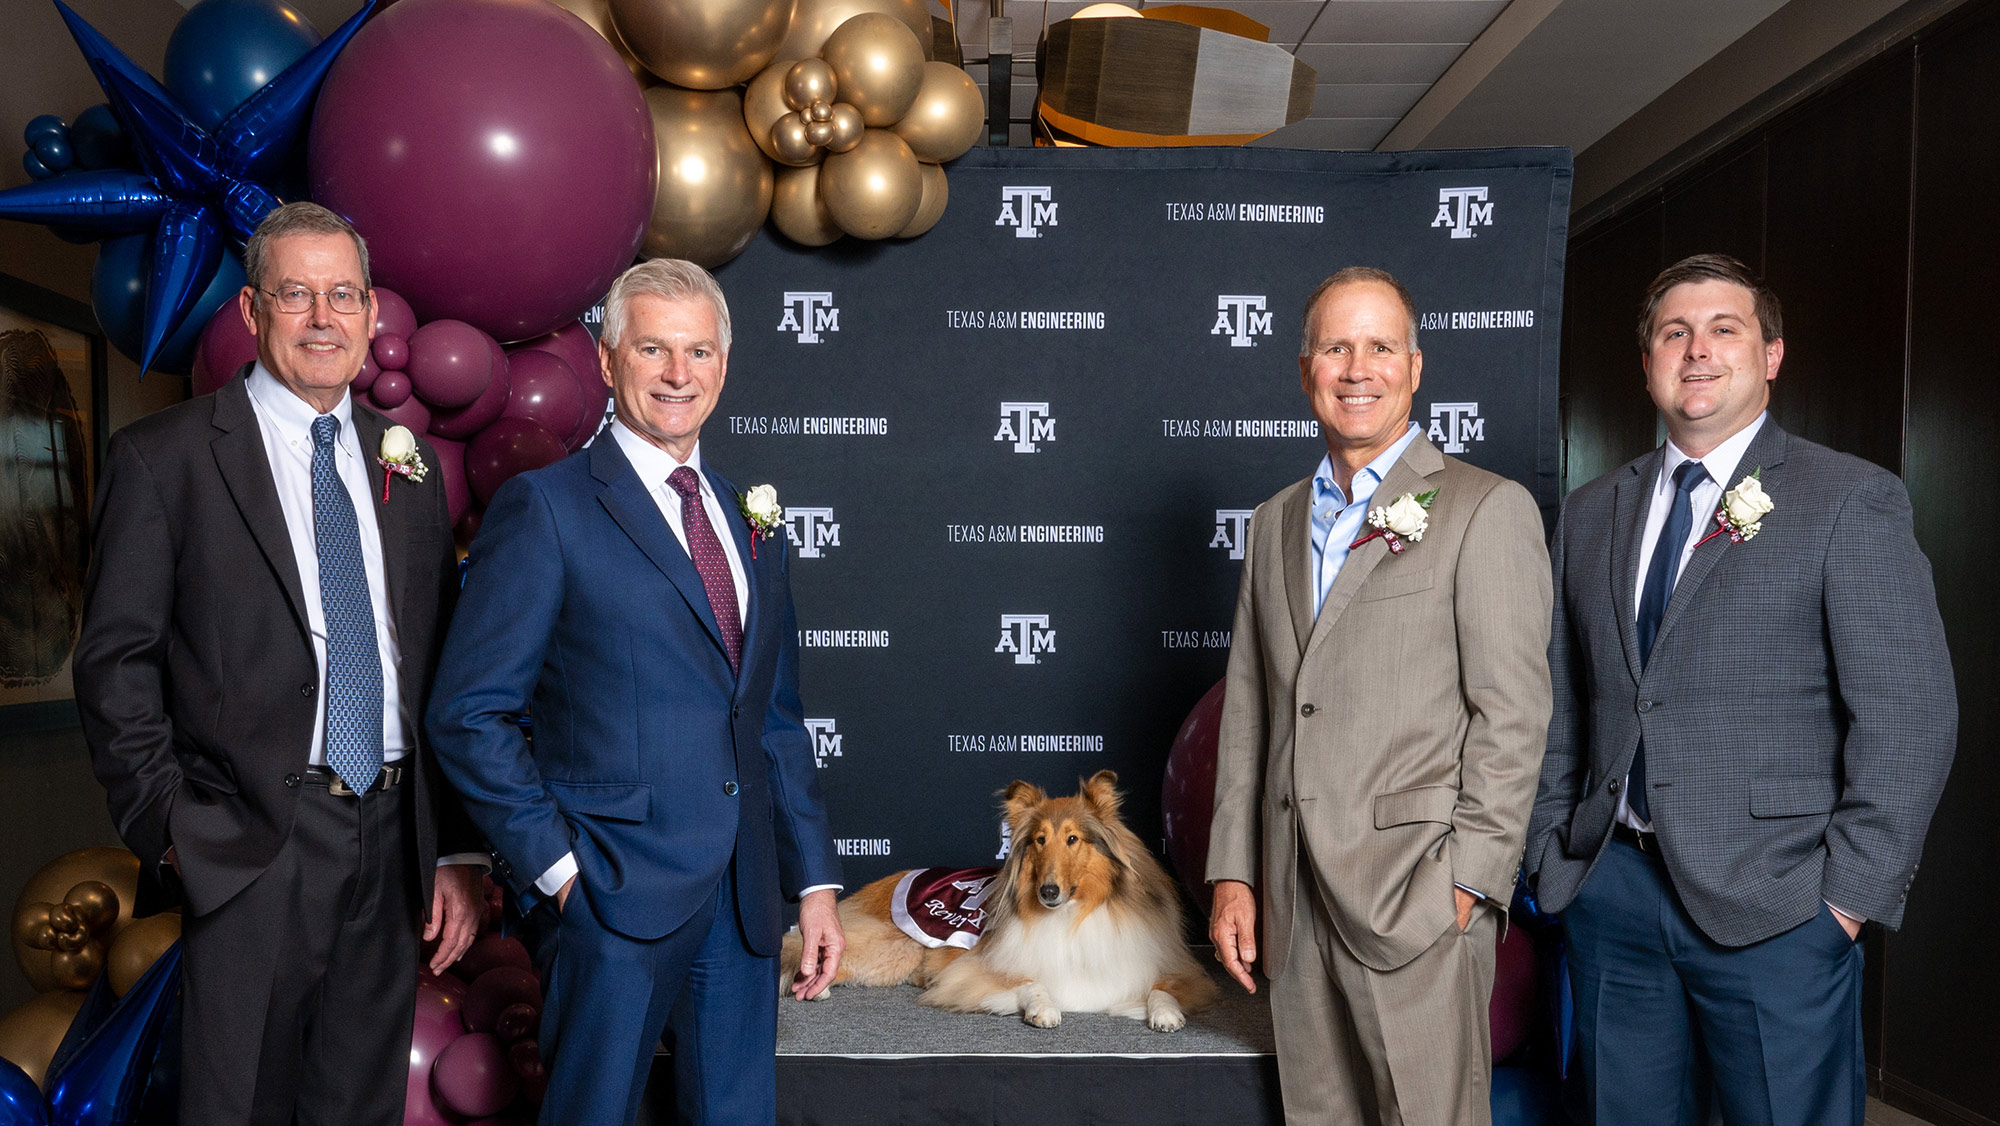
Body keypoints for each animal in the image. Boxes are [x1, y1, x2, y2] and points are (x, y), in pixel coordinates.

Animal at [780, 776, 1216, 1032]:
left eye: (1073, 839)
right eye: (1039, 840)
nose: (1048, 892)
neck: (1073, 915)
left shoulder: (1171, 967)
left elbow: (1162, 988)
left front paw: (1166, 1013)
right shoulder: (974, 971)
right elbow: (1031, 982)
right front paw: (1043, 1008)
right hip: (880, 943)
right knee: (808, 950)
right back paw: (810, 985)